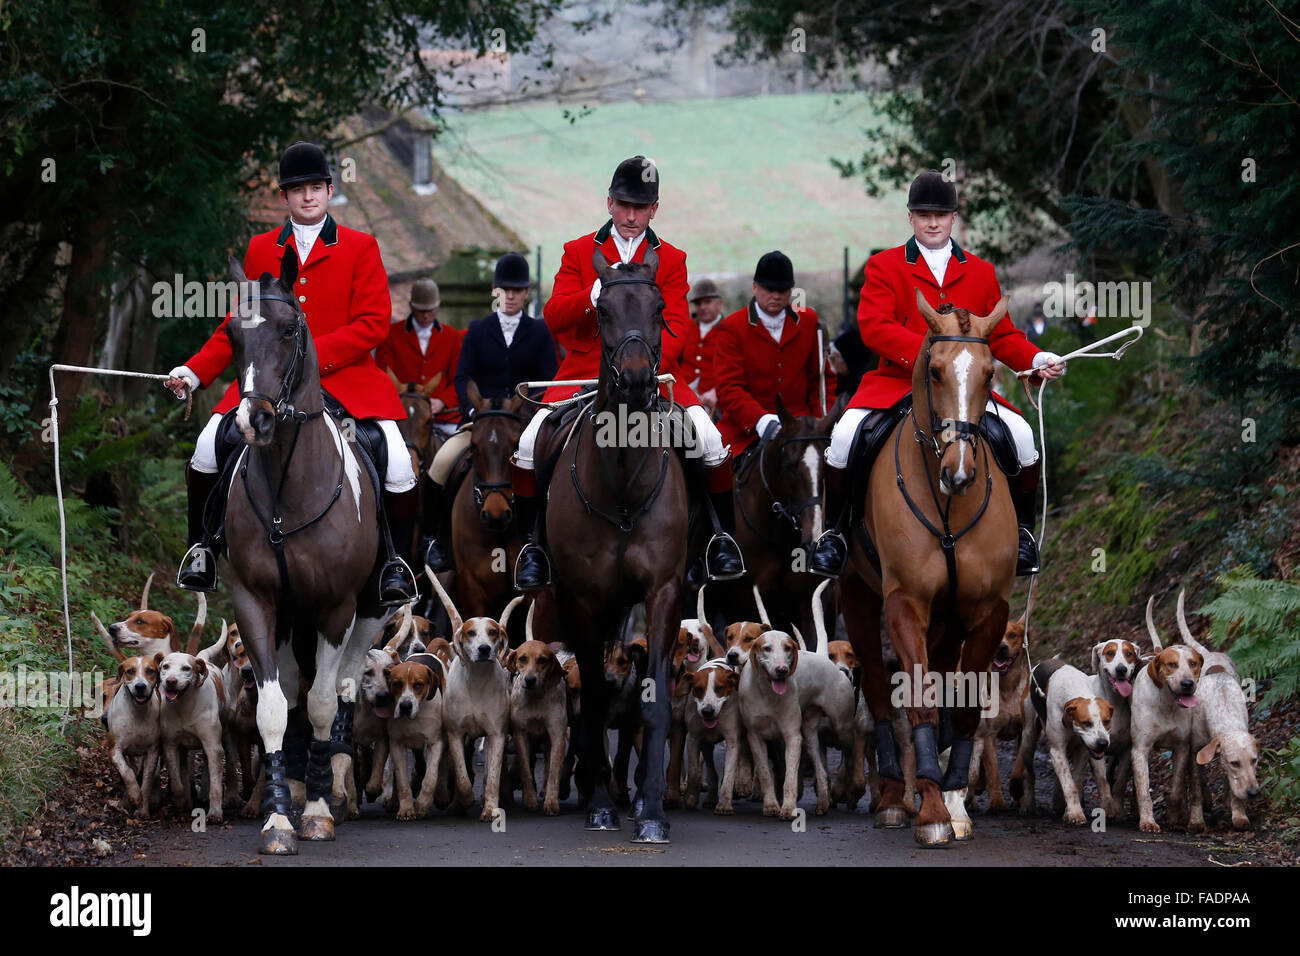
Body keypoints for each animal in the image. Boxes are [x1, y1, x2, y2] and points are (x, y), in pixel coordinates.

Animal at [222, 251, 390, 858]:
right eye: (231, 334)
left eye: (289, 330)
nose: (253, 422)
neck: (285, 493)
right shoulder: (255, 601)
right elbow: (276, 707)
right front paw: (277, 818)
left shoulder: (337, 606)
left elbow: (321, 703)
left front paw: (318, 811)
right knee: (295, 686)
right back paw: (294, 783)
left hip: (368, 610)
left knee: (341, 683)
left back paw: (330, 780)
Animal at [530, 251, 691, 842]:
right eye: (601, 311)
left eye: (661, 308)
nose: (640, 381)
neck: (621, 480)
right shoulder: (581, 598)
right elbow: (596, 697)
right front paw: (599, 801)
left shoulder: (663, 592)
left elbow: (654, 697)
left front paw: (652, 809)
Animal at [842, 290, 1024, 842]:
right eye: (937, 371)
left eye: (990, 372)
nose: (959, 473)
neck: (949, 507)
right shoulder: (906, 604)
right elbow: (918, 698)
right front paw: (929, 809)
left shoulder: (988, 611)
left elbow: (962, 707)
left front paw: (955, 800)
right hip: (859, 598)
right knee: (879, 688)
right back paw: (890, 796)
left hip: (949, 621)